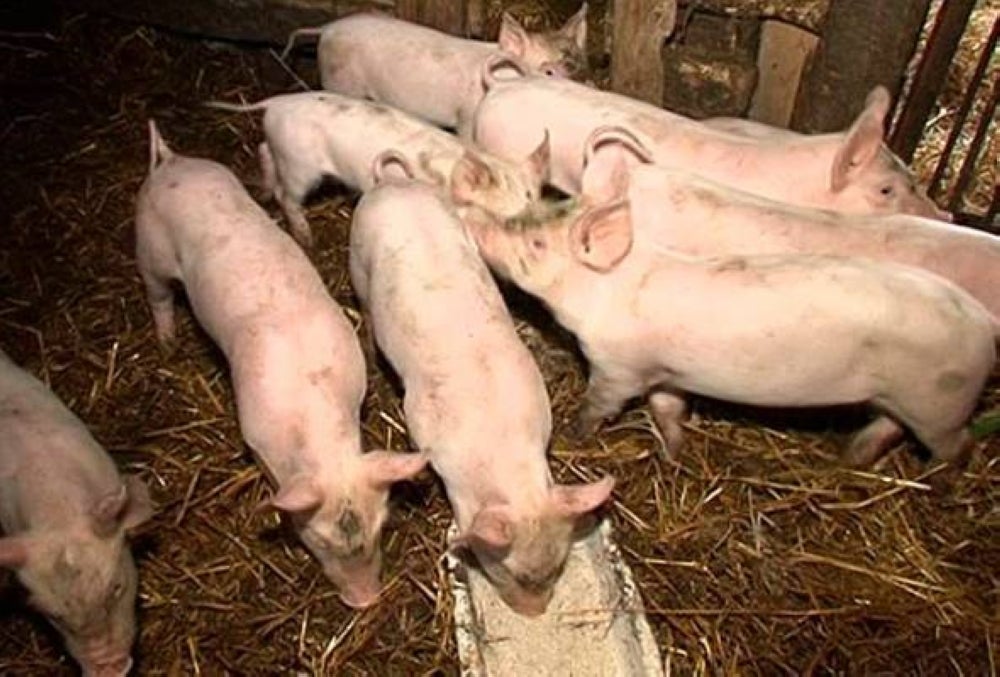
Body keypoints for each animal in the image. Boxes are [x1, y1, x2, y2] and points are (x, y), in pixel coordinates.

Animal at [134, 121, 427, 608]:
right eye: (320, 540)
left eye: (381, 526)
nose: (366, 601)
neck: (314, 413)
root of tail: (170, 163)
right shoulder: (254, 432)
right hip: (149, 252)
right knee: (158, 299)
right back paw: (168, 345)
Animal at [207, 91, 548, 246]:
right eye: (503, 219)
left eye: (533, 200)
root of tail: (276, 103)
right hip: (298, 166)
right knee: (286, 196)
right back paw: (306, 239)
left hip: (280, 150)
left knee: (263, 151)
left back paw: (263, 194)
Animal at [348, 177, 613, 616]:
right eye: (505, 569)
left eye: (559, 566)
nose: (535, 613)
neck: (502, 450)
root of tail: (393, 185)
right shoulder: (418, 418)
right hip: (357, 258)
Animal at [464, 149, 996, 470]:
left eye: (536, 242)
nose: (471, 217)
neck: (607, 288)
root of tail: (984, 325)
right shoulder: (665, 371)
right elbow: (668, 409)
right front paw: (675, 454)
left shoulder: (619, 367)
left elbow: (599, 406)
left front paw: (575, 436)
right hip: (902, 397)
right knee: (888, 426)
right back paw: (851, 458)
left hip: (941, 400)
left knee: (959, 445)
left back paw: (934, 480)